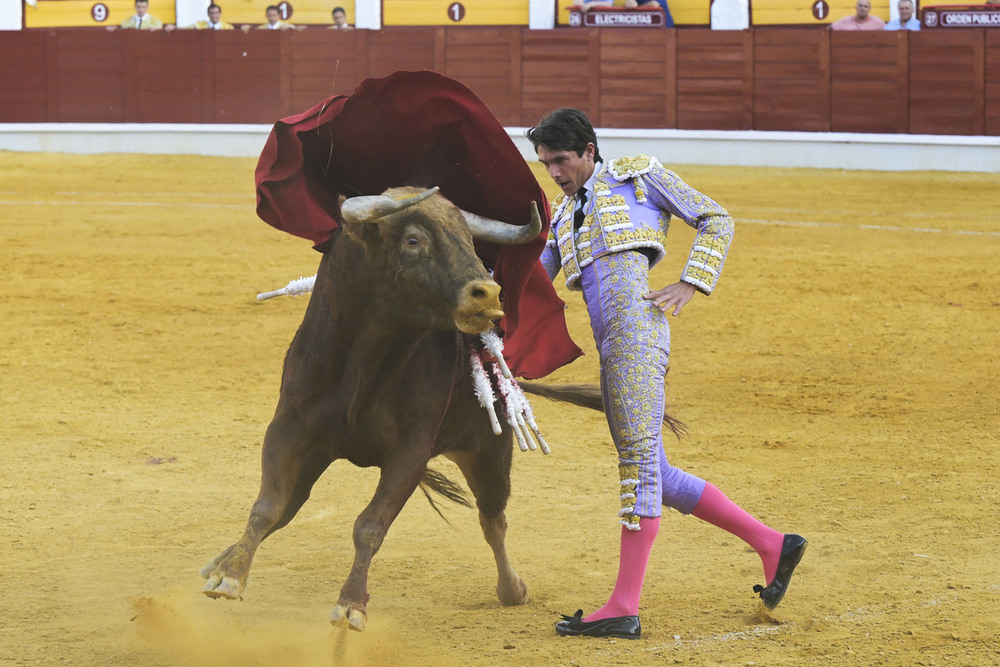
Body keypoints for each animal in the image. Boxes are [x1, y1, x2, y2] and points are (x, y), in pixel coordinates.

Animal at [201, 187, 548, 632]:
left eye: (470, 240)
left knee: (493, 519)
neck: (368, 357)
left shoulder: (410, 453)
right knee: (289, 508)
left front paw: (351, 604)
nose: (487, 293)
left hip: (489, 453)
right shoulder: (288, 430)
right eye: (413, 240)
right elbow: (266, 507)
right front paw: (229, 576)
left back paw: (512, 588)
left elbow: (369, 525)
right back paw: (218, 561)